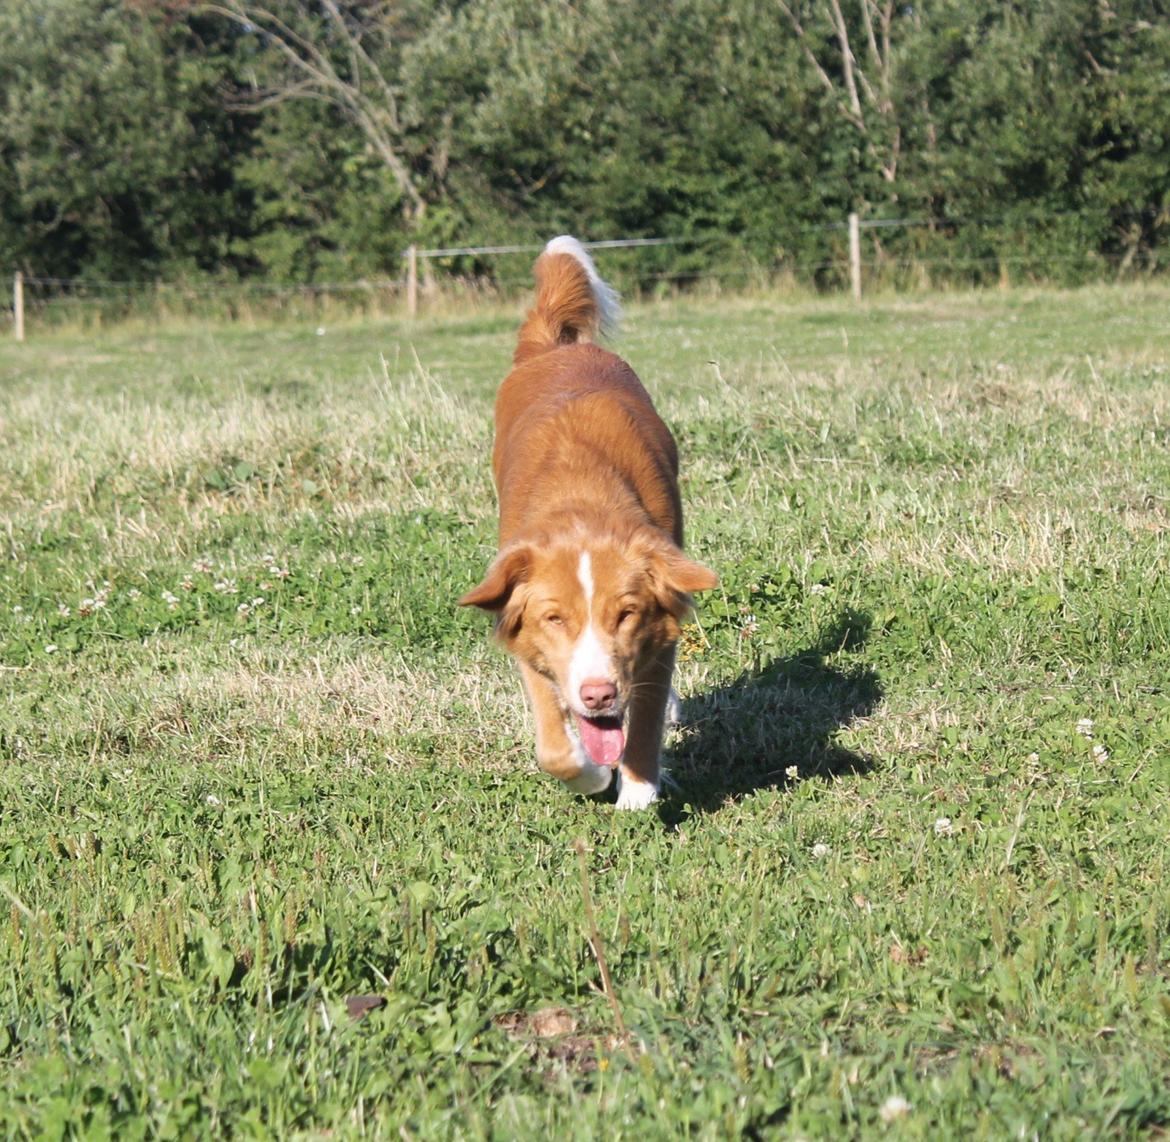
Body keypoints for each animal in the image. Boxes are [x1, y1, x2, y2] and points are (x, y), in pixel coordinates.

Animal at [460, 236, 716, 809]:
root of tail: (557, 348)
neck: (584, 504)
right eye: (556, 618)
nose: (598, 694)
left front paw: (637, 790)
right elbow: (554, 745)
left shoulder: (658, 627)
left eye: (626, 613)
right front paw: (594, 774)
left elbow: (645, 714)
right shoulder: (524, 629)